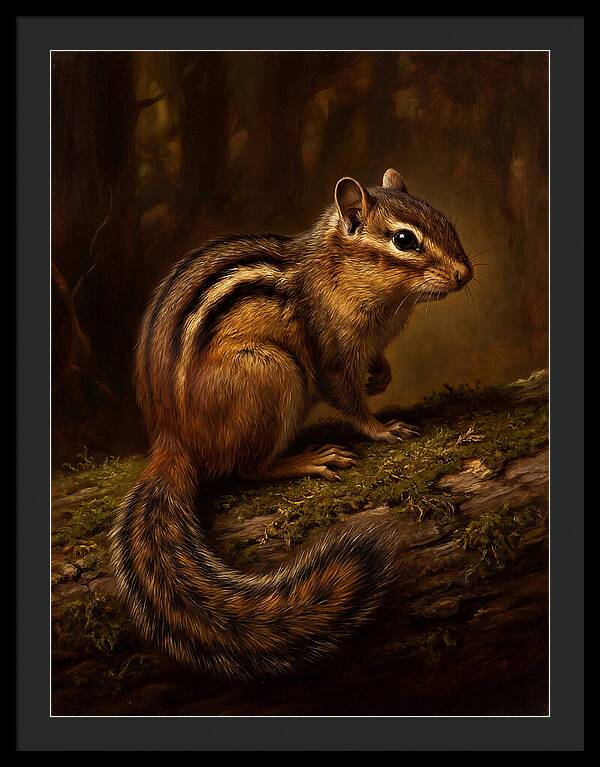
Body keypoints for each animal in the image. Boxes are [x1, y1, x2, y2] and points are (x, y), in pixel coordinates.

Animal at [110, 168, 473, 679]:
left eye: (446, 221)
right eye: (404, 240)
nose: (466, 273)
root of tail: (172, 439)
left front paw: (381, 376)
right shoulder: (331, 352)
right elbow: (347, 399)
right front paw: (382, 429)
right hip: (272, 372)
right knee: (247, 468)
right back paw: (310, 459)